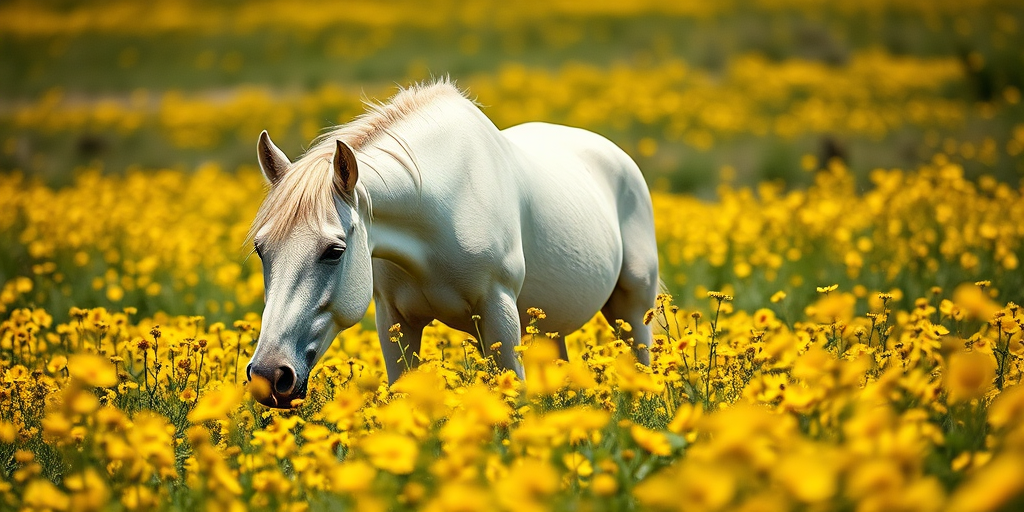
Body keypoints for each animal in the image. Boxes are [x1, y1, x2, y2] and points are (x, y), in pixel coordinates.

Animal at [245, 79, 659, 408]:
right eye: (261, 250)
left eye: (334, 251)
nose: (269, 375)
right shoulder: (394, 319)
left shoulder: (499, 311)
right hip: (549, 328)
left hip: (631, 309)